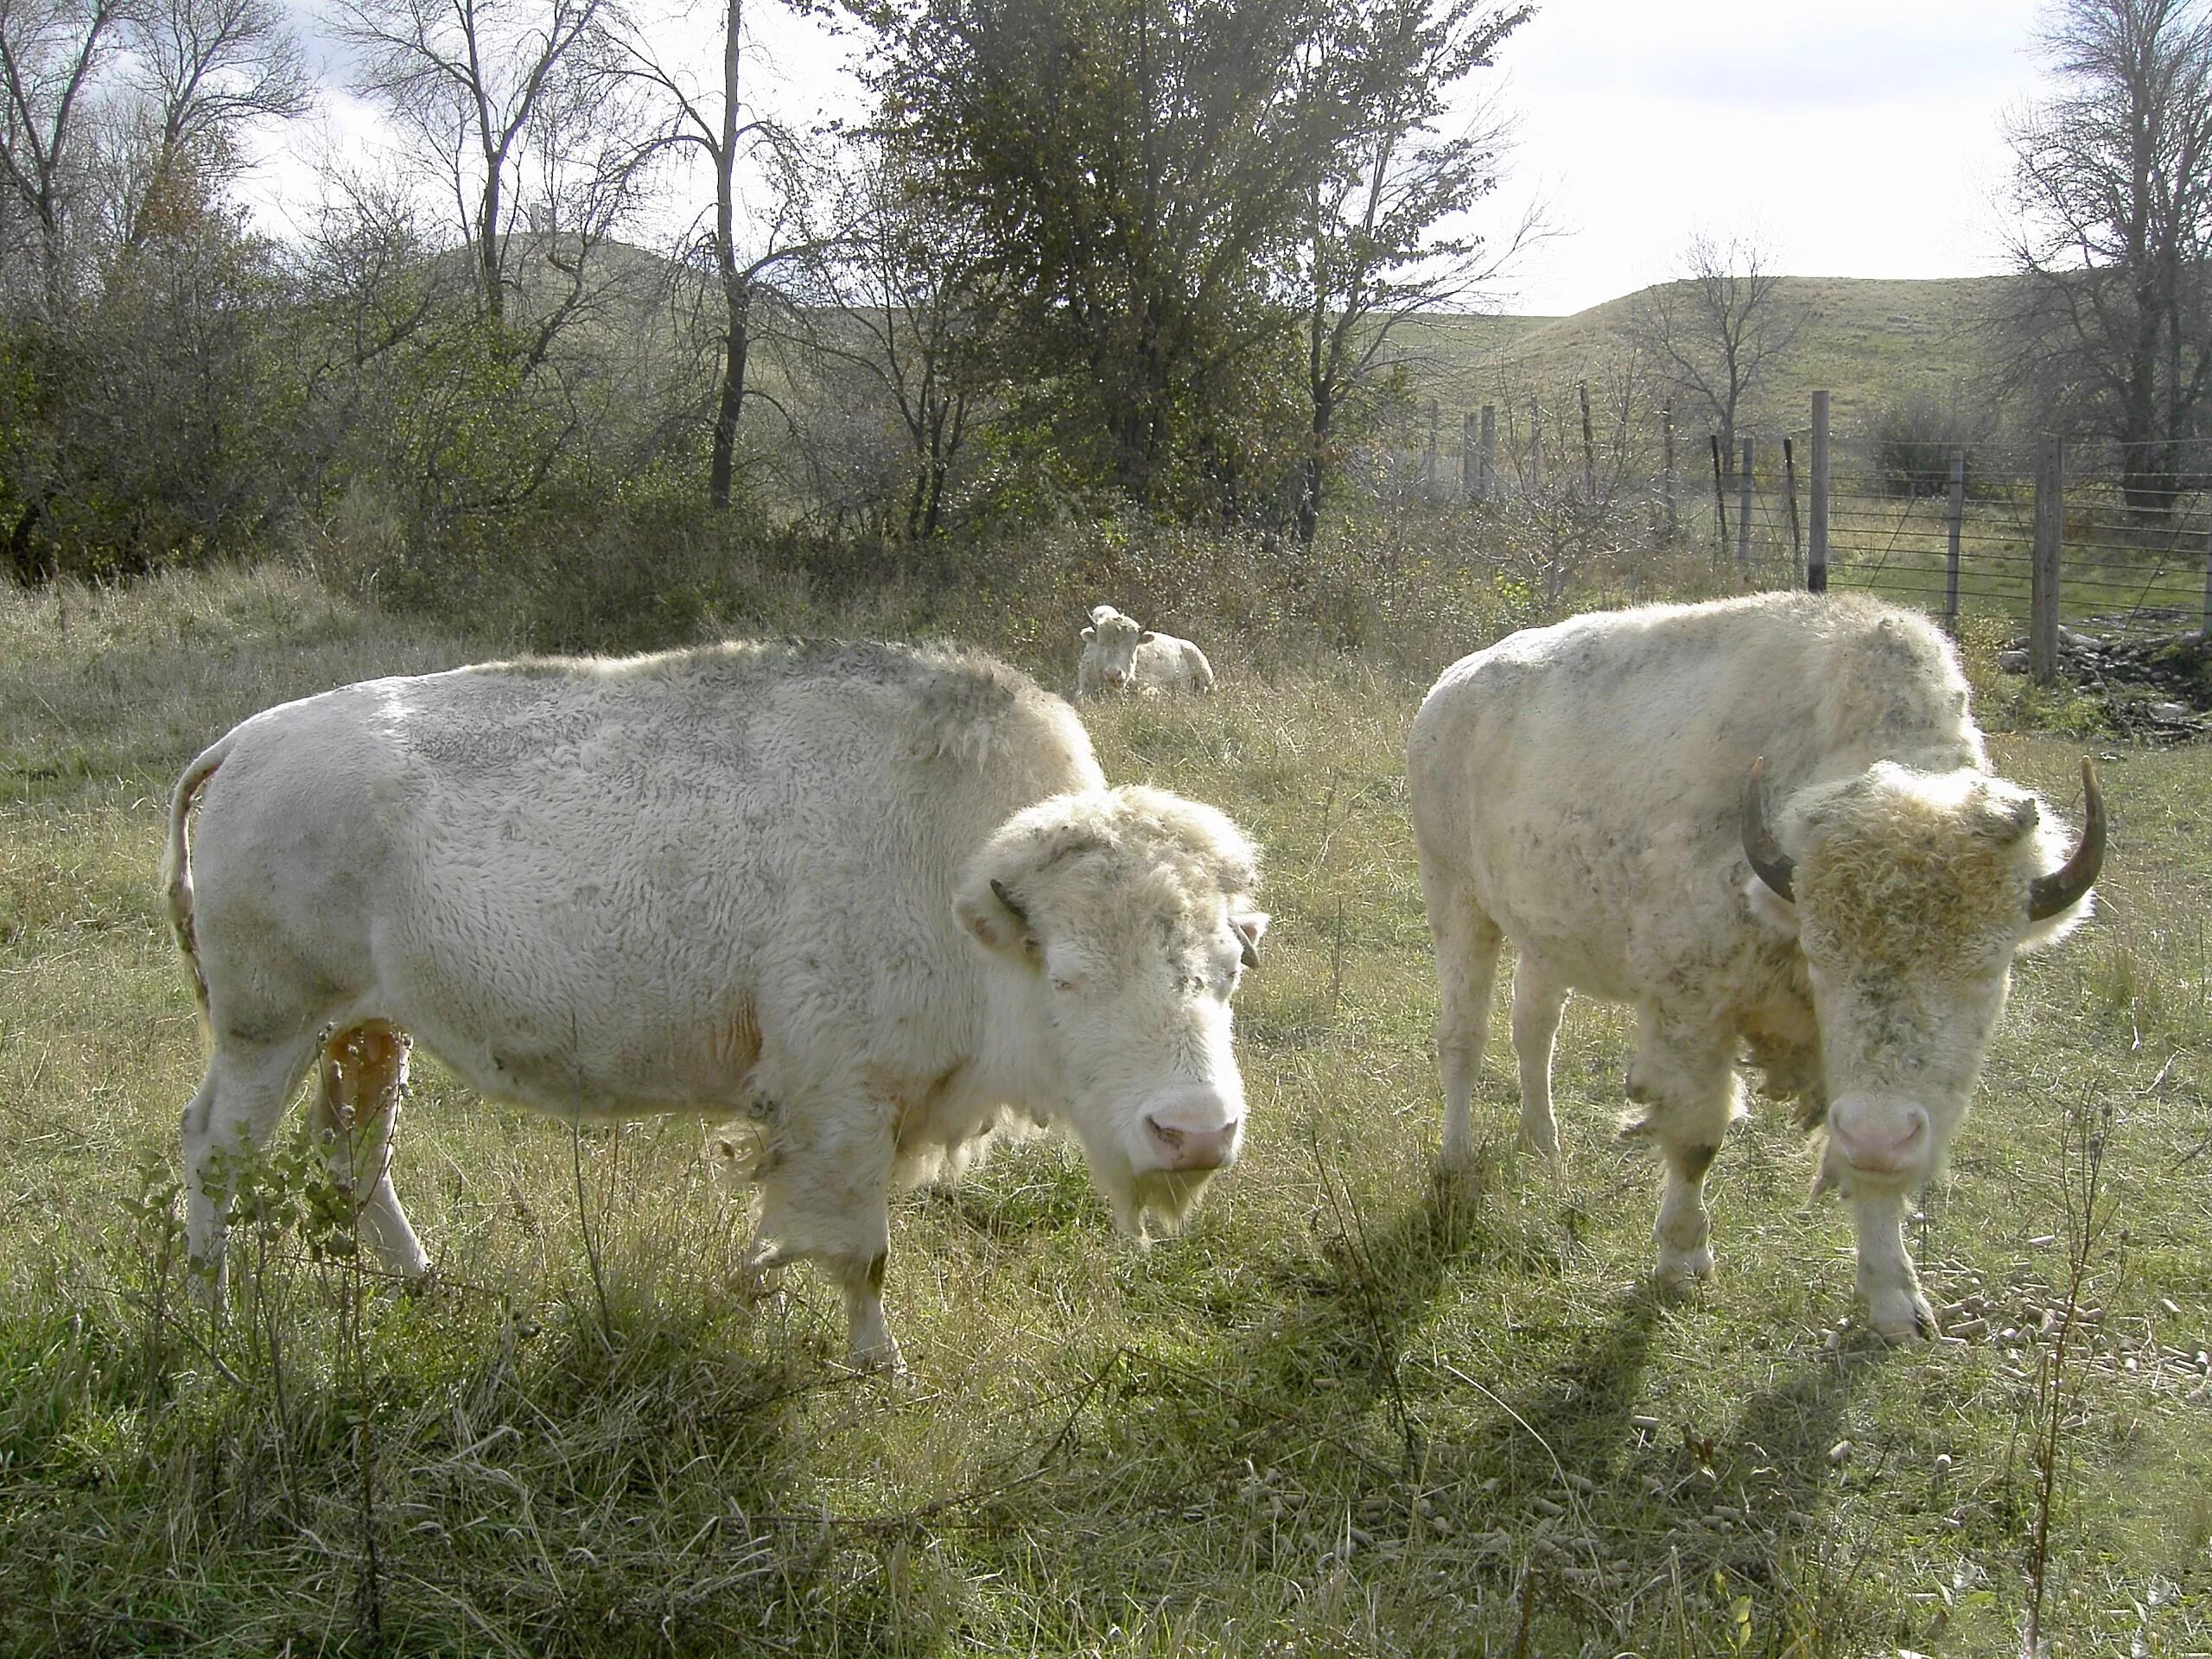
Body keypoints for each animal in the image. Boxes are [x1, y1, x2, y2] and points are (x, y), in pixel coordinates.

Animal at [163, 641, 1274, 1371]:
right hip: (268, 1030)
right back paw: (212, 1319)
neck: (962, 878)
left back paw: (421, 1281)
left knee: (355, 1149)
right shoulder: (843, 1107)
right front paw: (879, 1366)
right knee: (215, 1147)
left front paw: (751, 1297)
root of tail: (241, 744)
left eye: (1230, 965)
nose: (1194, 1132)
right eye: (1070, 975)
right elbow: (859, 1250)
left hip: (365, 1030)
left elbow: (789, 1235)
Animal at [1415, 593, 2106, 1344]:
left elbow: (1866, 1174)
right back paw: (1455, 1157)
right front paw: (1683, 1259)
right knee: (1464, 1036)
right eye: (1821, 956)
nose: (1881, 1133)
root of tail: (1448, 690)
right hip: (1457, 898)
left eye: (1987, 969)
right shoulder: (1693, 1011)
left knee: (1534, 1027)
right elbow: (1696, 1138)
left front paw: (1897, 1301)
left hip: (1546, 935)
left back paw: (1544, 1146)